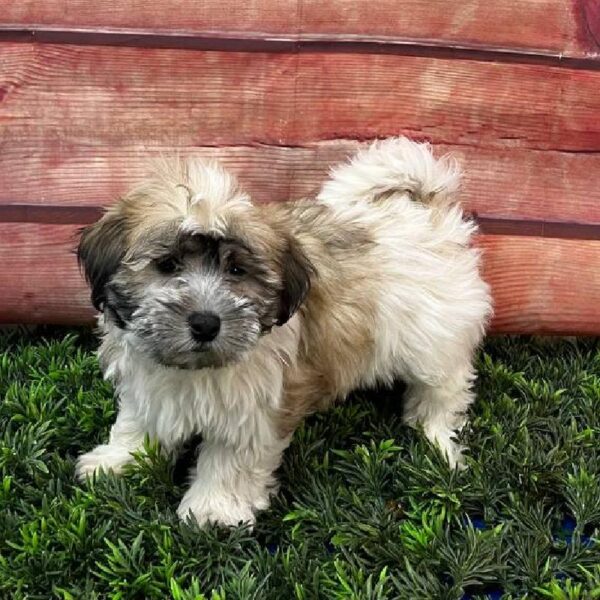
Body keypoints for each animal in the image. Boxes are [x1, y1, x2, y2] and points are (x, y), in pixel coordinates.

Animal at [75, 138, 492, 528]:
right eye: (166, 264)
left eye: (237, 271)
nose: (206, 323)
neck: (196, 369)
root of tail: (427, 213)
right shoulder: (148, 384)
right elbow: (137, 422)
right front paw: (118, 461)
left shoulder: (254, 411)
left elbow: (230, 459)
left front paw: (213, 509)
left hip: (433, 334)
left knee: (445, 386)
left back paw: (437, 438)